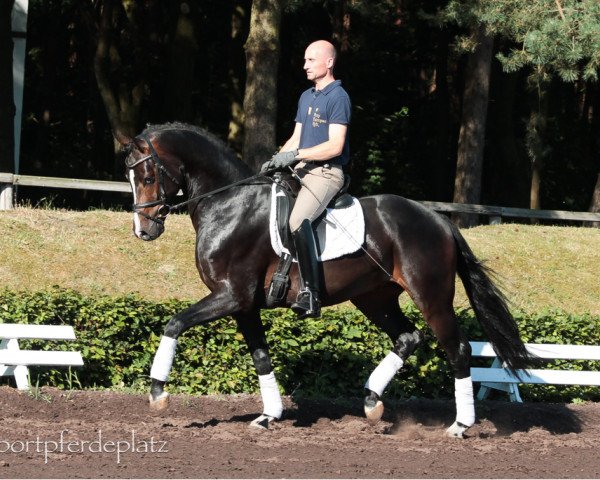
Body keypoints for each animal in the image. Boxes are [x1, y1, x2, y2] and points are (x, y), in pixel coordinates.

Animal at [120, 122, 528, 436]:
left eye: (148, 176)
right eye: (131, 178)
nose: (143, 230)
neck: (229, 204)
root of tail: (439, 221)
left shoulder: (231, 295)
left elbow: (174, 323)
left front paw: (157, 393)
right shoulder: (244, 305)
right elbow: (261, 358)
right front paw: (268, 415)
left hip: (431, 295)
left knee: (456, 349)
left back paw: (460, 425)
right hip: (375, 297)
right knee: (407, 337)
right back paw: (371, 401)